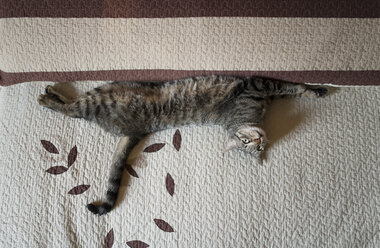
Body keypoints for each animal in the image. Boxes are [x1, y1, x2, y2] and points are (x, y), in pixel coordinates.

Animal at [37, 74, 326, 214]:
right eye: (245, 142)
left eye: (255, 148)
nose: (258, 140)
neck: (253, 116)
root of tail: (135, 130)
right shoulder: (256, 84)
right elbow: (293, 87)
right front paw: (316, 90)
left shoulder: (258, 90)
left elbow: (291, 89)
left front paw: (313, 90)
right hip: (101, 94)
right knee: (71, 108)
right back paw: (49, 96)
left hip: (100, 96)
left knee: (72, 108)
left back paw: (50, 96)